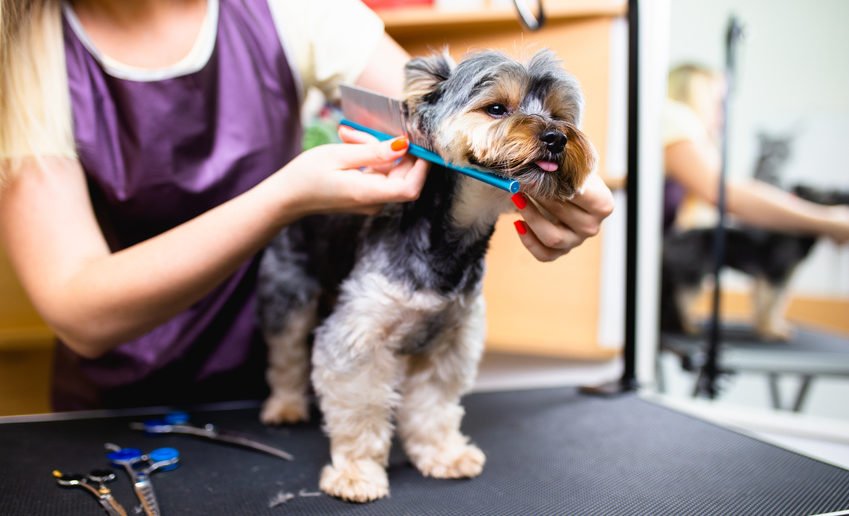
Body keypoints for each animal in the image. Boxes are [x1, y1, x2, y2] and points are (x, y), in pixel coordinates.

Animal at [255, 50, 592, 502]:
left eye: (559, 114)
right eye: (496, 108)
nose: (556, 137)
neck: (449, 244)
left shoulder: (449, 342)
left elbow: (433, 406)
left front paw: (443, 455)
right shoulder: (358, 338)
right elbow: (360, 410)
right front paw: (356, 473)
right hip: (287, 290)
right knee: (286, 352)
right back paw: (285, 406)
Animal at [664, 186, 848, 342]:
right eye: (829, 197)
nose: (843, 195)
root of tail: (673, 239)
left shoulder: (770, 278)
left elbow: (771, 305)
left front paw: (767, 328)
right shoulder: (775, 276)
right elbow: (770, 306)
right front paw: (770, 331)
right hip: (693, 276)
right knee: (682, 302)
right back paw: (688, 327)